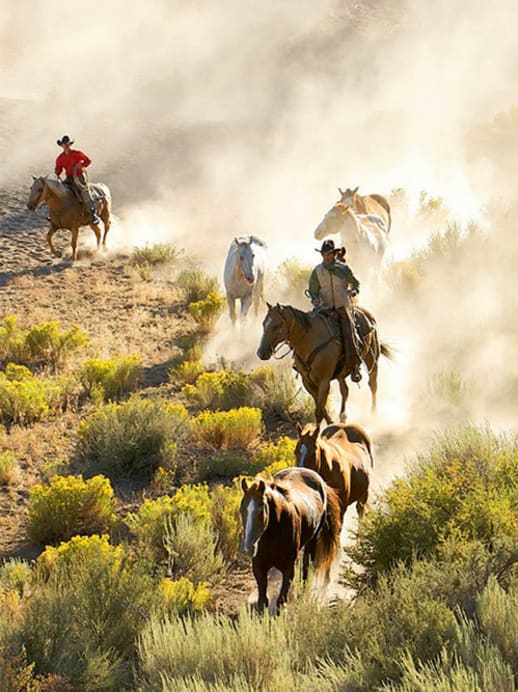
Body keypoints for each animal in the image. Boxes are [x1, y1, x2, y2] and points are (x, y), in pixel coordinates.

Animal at [241, 470, 346, 612]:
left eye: (261, 510)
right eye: (241, 509)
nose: (248, 548)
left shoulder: (288, 567)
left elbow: (281, 601)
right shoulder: (258, 566)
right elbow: (263, 601)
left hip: (313, 540)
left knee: (307, 565)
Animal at [258, 302, 392, 422]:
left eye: (277, 325)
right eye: (263, 324)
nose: (261, 353)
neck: (310, 340)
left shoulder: (324, 381)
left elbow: (319, 410)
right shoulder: (307, 381)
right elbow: (320, 407)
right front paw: (330, 422)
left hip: (371, 358)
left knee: (373, 384)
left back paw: (373, 414)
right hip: (341, 372)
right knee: (345, 390)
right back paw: (343, 417)